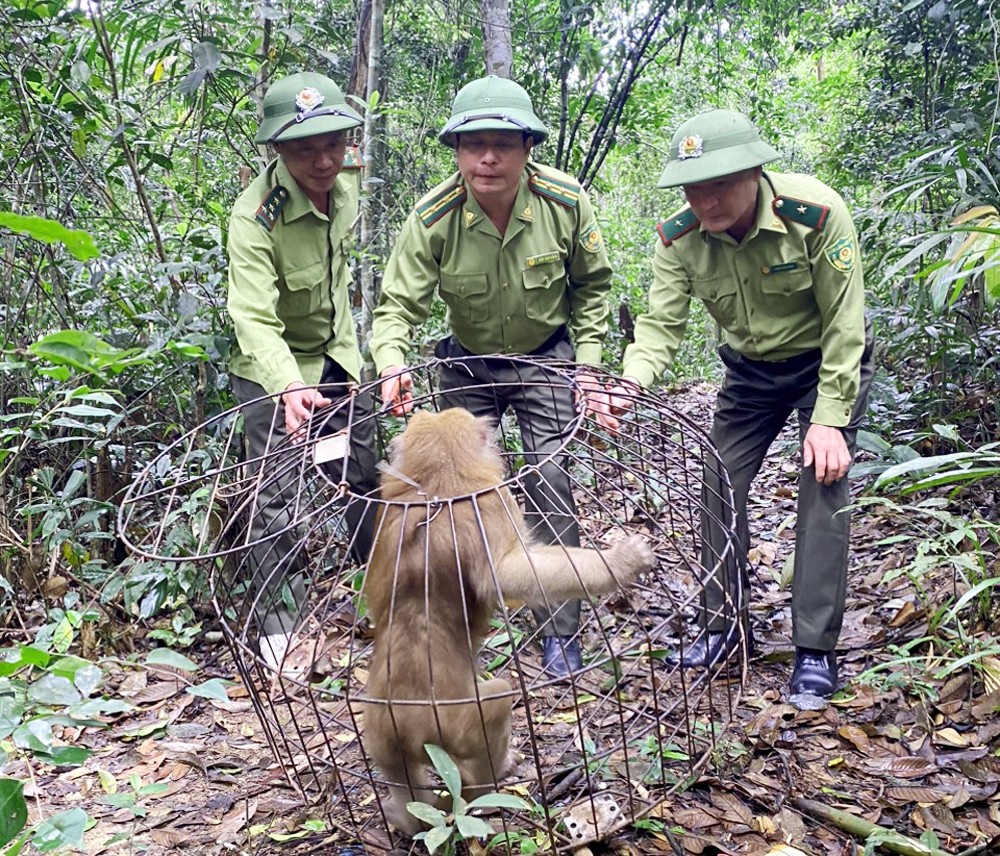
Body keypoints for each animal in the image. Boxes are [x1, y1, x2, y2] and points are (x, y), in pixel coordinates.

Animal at [360, 404, 656, 832]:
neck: (432, 484)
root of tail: (408, 716)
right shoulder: (494, 500)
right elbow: (506, 572)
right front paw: (621, 562)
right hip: (455, 721)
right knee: (497, 699)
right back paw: (488, 781)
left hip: (381, 730)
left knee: (402, 779)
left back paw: (406, 813)